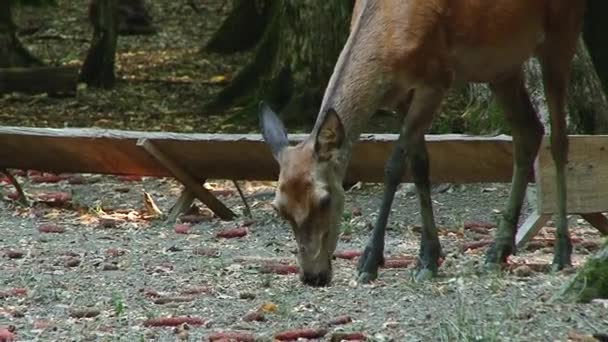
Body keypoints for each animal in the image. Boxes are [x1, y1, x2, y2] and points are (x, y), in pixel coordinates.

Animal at [258, 0, 588, 286]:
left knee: (559, 138)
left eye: (325, 200)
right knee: (529, 131)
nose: (312, 276)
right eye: (279, 208)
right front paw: (428, 257)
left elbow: (394, 165)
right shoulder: (402, 96)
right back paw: (498, 251)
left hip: (562, 33)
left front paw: (370, 261)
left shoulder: (437, 77)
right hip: (502, 65)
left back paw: (561, 252)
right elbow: (419, 165)